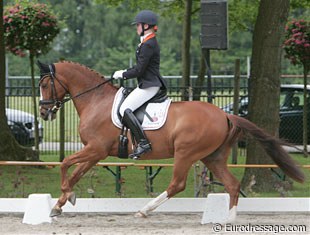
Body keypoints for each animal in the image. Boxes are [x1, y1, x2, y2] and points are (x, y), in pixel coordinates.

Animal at [37, 60, 304, 218]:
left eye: (45, 84)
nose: (43, 112)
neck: (96, 100)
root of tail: (225, 115)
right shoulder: (95, 152)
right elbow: (75, 173)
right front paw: (61, 203)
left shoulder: (96, 149)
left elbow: (65, 164)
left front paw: (63, 199)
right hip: (212, 157)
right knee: (232, 185)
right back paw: (228, 221)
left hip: (186, 153)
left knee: (177, 184)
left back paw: (144, 210)